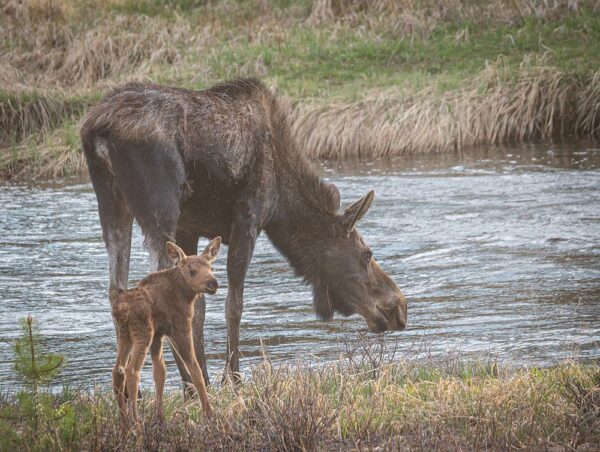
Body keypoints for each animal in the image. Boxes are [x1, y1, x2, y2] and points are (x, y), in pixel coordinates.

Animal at [81, 77, 408, 384]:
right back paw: (186, 385)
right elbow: (233, 304)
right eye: (367, 254)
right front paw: (232, 378)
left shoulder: (190, 227)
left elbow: (198, 307)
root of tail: (97, 128)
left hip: (110, 201)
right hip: (160, 205)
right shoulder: (248, 217)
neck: (283, 203)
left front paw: (207, 376)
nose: (399, 308)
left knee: (115, 289)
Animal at [111, 238, 219, 426]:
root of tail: (121, 309)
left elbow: (160, 373)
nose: (212, 282)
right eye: (192, 271)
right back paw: (136, 422)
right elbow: (195, 370)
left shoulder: (158, 336)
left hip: (124, 335)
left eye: (210, 267)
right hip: (143, 333)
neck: (185, 294)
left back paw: (124, 422)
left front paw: (160, 418)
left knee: (118, 370)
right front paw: (208, 413)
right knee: (132, 371)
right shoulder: (181, 329)